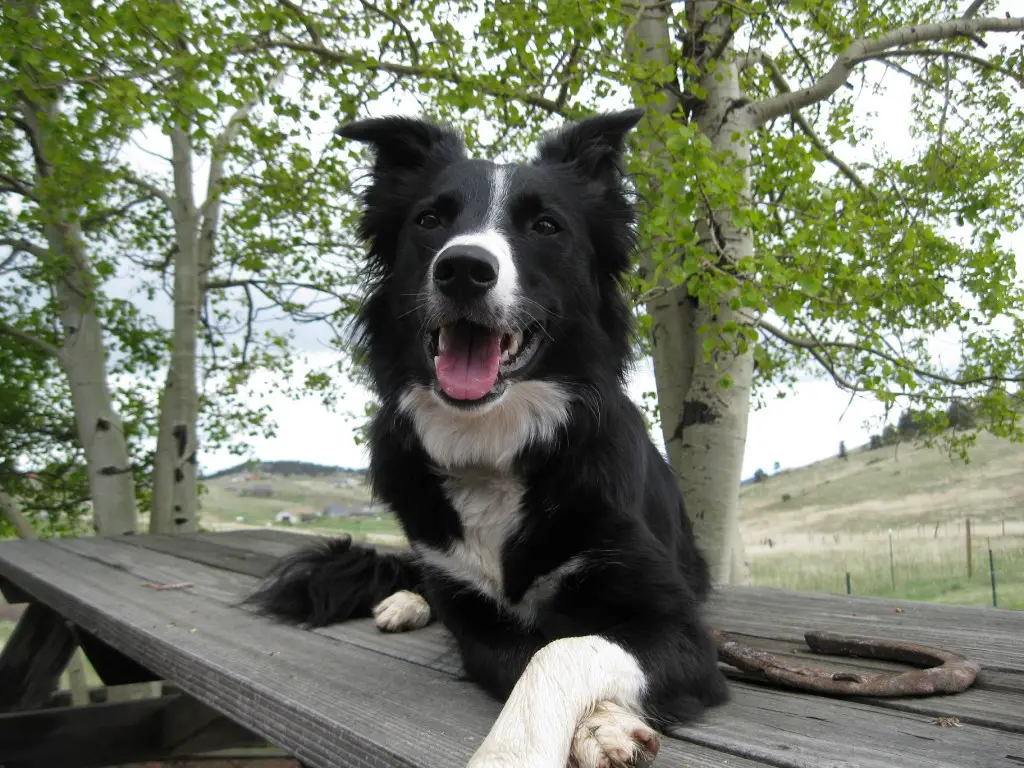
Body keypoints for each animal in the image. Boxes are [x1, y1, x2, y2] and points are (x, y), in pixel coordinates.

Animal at [246, 109, 729, 768]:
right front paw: (597, 724)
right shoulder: (475, 619)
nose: (463, 269)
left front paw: (586, 729)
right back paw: (404, 601)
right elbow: (523, 654)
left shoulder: (675, 625)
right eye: (430, 220)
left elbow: (563, 648)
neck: (493, 447)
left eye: (546, 226)